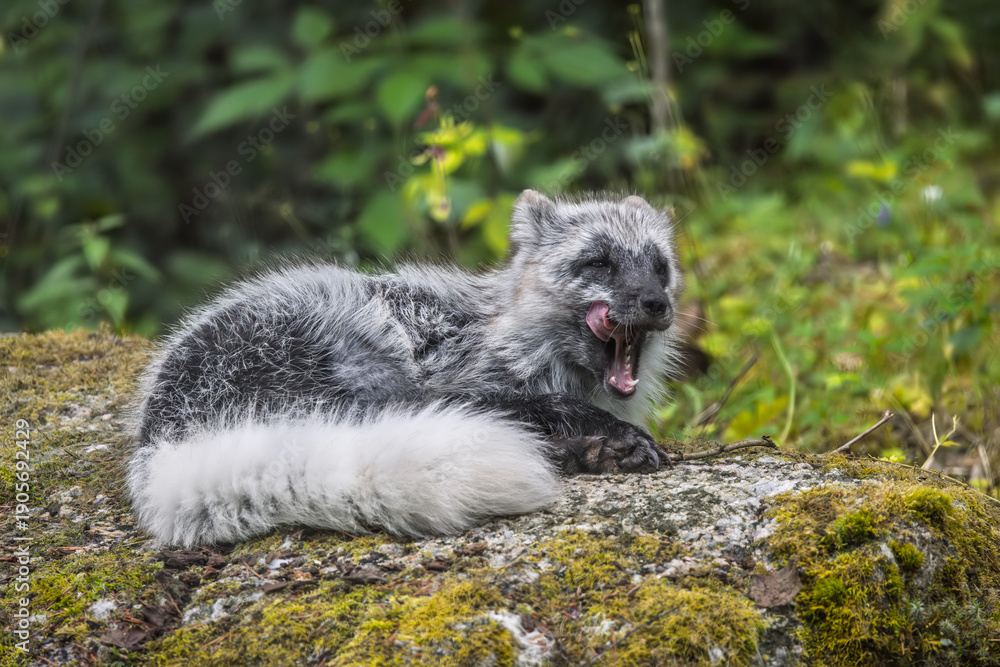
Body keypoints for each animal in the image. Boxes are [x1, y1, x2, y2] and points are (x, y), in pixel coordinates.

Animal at [127, 190, 684, 546]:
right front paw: (609, 435)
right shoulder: (459, 377)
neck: (506, 336)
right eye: (598, 263)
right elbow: (536, 403)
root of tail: (159, 437)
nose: (657, 303)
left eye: (660, 268)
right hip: (362, 372)